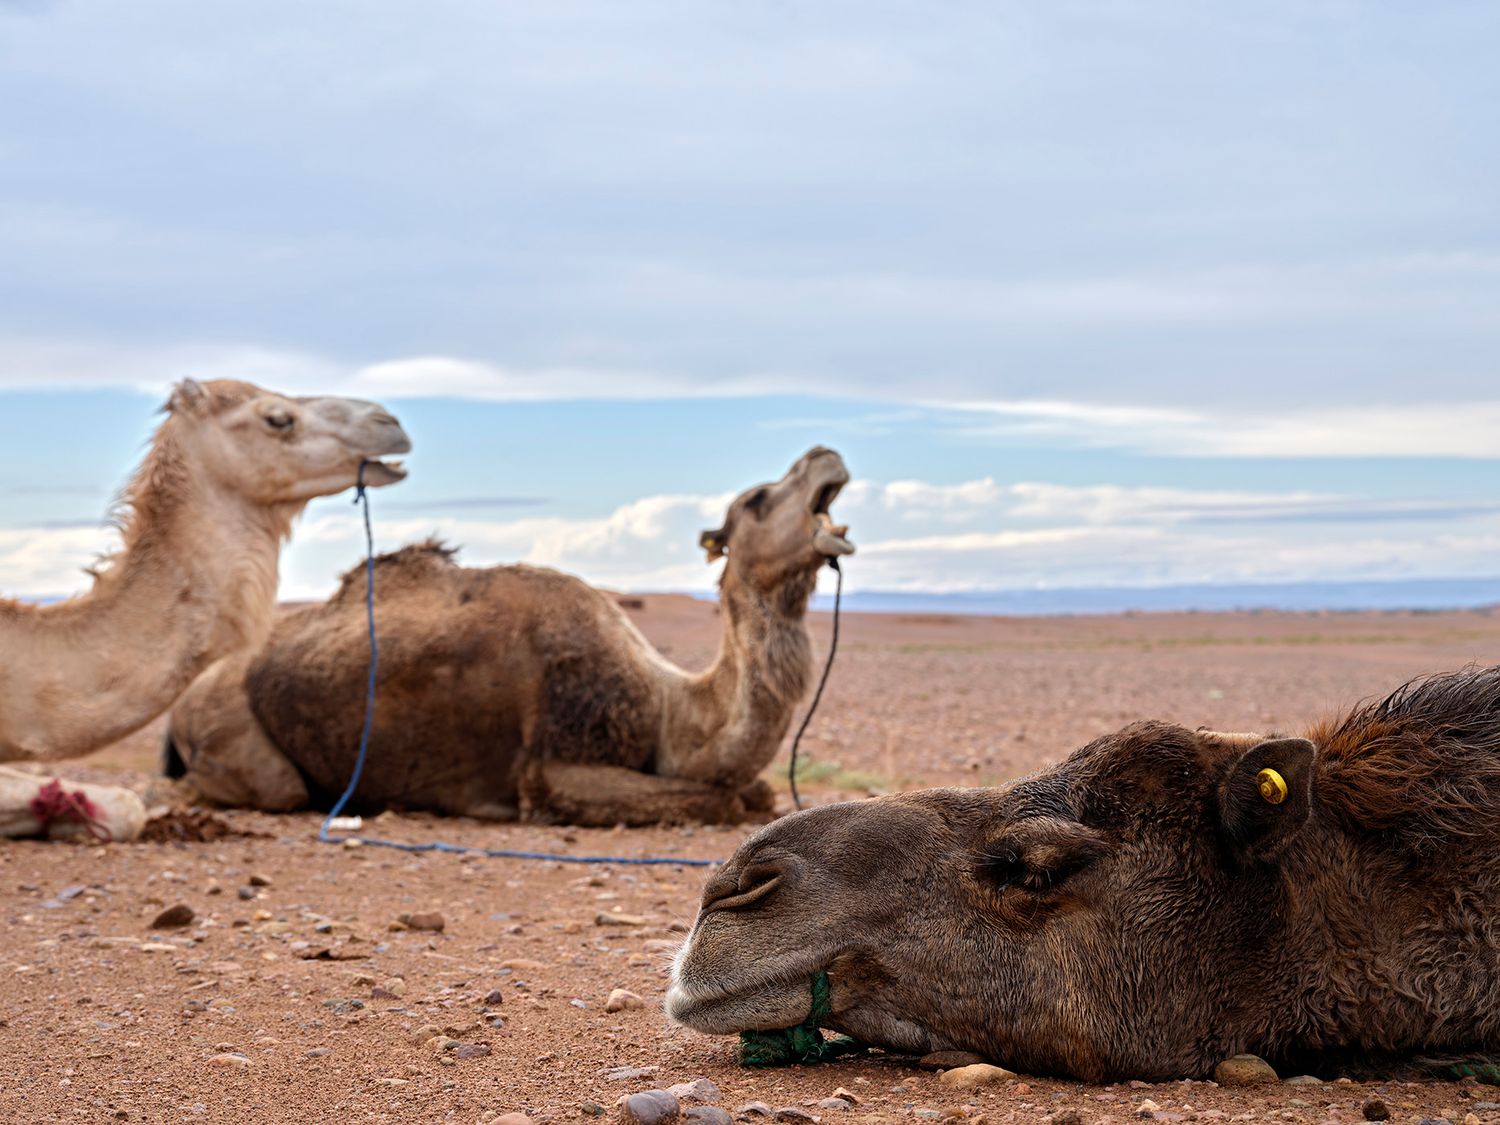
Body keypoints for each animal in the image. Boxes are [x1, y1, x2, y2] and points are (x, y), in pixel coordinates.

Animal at [163, 446, 855, 825]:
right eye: (759, 499)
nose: (826, 451)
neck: (670, 708)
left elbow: (753, 791)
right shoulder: (555, 764)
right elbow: (717, 800)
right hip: (229, 728)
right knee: (258, 787)